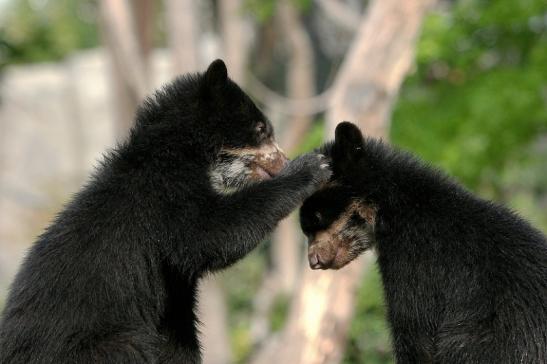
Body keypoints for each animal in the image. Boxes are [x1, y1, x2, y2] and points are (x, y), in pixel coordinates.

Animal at [0, 60, 332, 364]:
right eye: (261, 130)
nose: (283, 160)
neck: (181, 152)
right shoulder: (165, 197)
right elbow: (210, 233)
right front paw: (312, 166)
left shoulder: (173, 290)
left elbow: (179, 332)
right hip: (92, 345)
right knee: (130, 347)